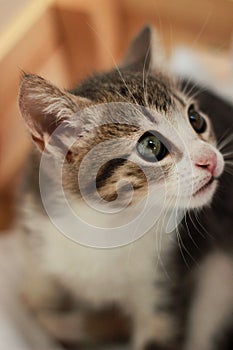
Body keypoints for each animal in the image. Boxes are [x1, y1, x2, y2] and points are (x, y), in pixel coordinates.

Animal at [17, 25, 225, 350]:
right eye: (150, 146)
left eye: (195, 119)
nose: (211, 160)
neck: (108, 224)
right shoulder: (37, 223)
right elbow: (39, 283)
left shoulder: (166, 283)